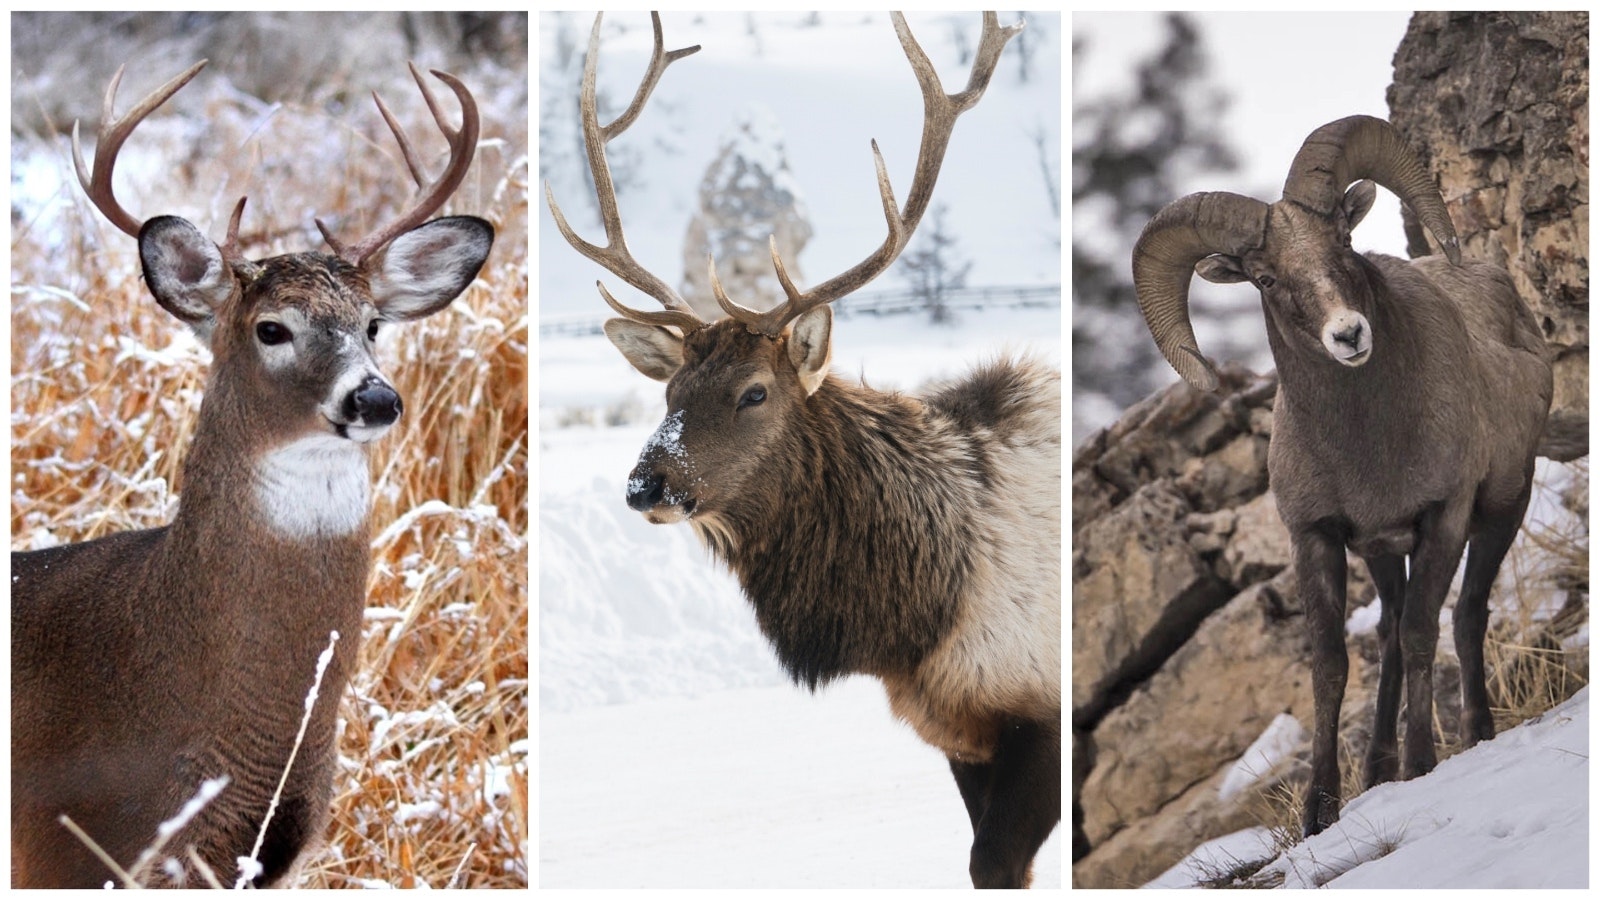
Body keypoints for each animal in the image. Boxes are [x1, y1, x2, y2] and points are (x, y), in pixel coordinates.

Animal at [545, 11, 1060, 888]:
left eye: (755, 392)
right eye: (670, 391)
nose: (646, 484)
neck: (919, 617)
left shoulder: (1038, 709)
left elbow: (995, 861)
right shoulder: (961, 727)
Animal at [1130, 115, 1553, 837]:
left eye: (1343, 240)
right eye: (1265, 278)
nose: (1349, 335)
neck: (1366, 445)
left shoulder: (1443, 517)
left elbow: (1422, 633)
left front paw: (1421, 765)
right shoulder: (1317, 538)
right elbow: (1331, 666)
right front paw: (1319, 810)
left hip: (1503, 507)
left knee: (1466, 614)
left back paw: (1473, 735)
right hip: (1383, 554)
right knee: (1387, 635)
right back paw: (1378, 768)